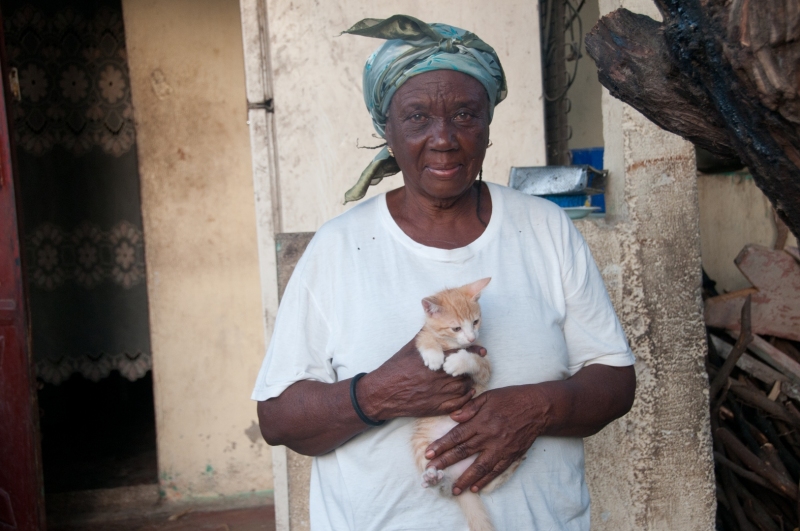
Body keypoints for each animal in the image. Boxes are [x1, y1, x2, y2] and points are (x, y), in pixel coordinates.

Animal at [412, 278, 520, 531]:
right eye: (455, 328)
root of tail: (461, 477)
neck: (449, 343)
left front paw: (457, 362)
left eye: (475, 322)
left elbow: (475, 361)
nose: (471, 338)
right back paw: (434, 479)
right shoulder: (423, 334)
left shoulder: (484, 366)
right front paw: (433, 356)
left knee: (483, 485)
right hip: (424, 450)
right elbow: (425, 337)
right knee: (446, 490)